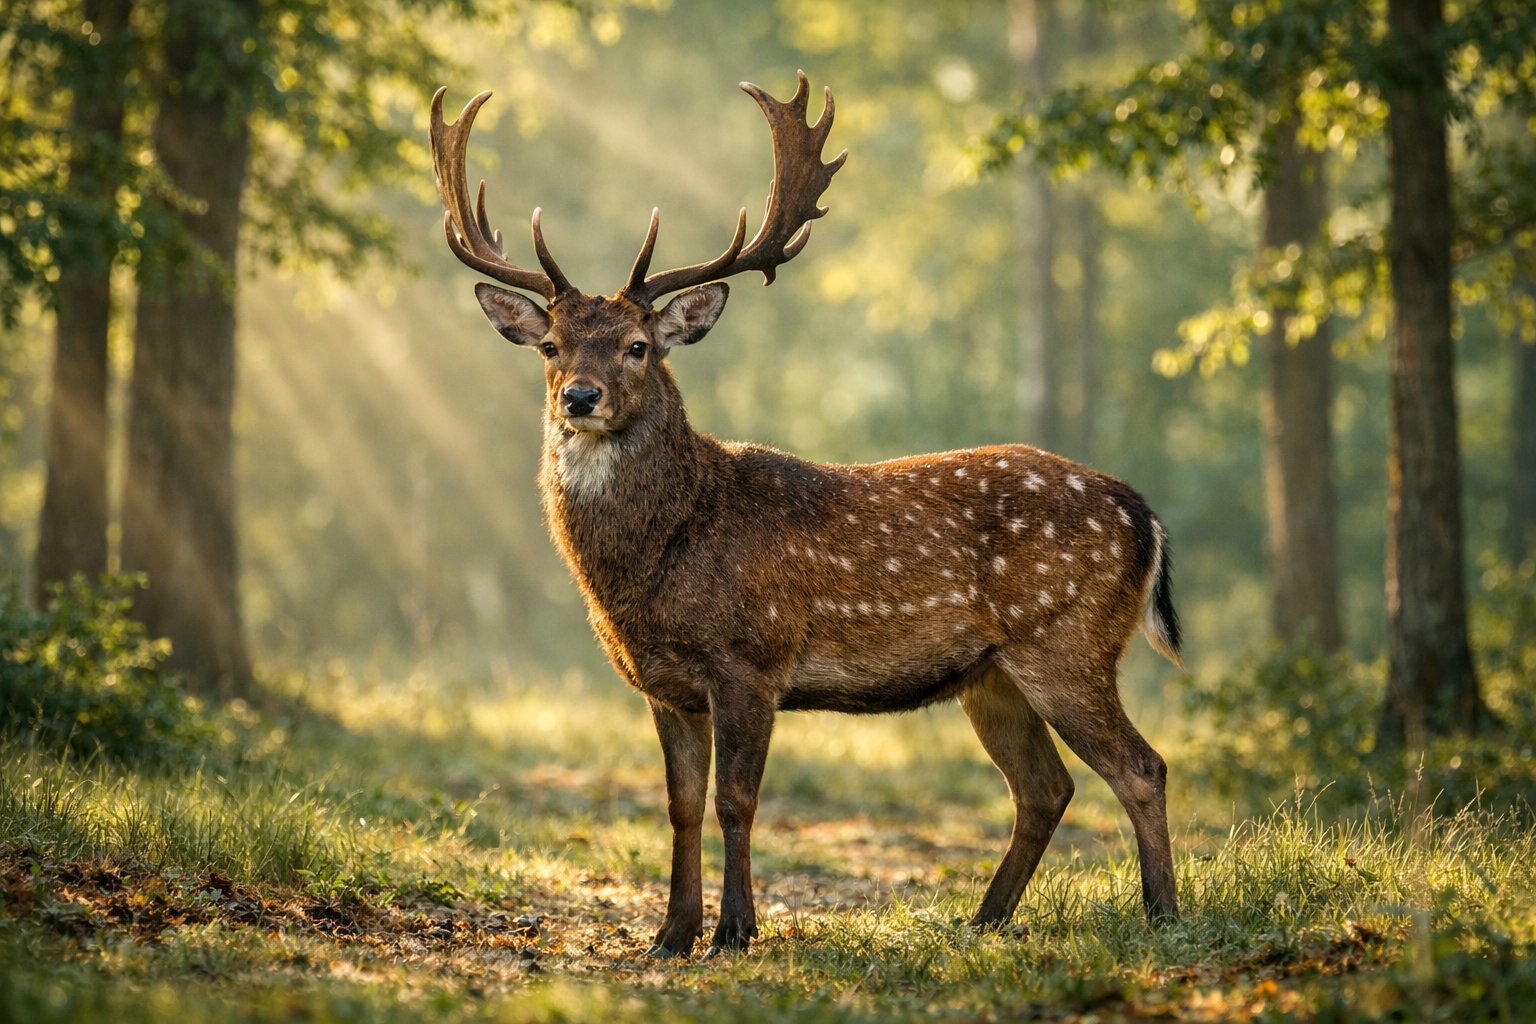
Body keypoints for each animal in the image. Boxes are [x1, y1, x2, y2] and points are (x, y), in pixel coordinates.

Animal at [429, 73, 1183, 957]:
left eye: (638, 347)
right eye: (550, 346)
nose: (581, 397)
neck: (658, 562)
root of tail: (1142, 513)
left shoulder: (750, 657)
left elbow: (736, 801)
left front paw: (734, 930)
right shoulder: (662, 683)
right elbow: (680, 805)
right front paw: (670, 934)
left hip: (1067, 638)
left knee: (1140, 767)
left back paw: (1163, 916)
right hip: (992, 674)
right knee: (1045, 787)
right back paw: (982, 920)